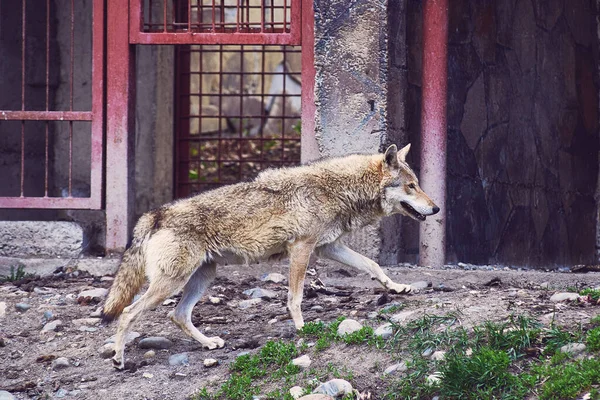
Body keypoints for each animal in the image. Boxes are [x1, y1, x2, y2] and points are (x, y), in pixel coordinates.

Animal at [102, 144, 440, 368]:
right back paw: (118, 358)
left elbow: (373, 265)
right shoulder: (301, 248)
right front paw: (303, 328)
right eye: (411, 186)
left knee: (178, 315)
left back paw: (209, 343)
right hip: (172, 283)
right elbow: (296, 297)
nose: (436, 208)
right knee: (128, 312)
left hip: (201, 278)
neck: (336, 189)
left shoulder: (327, 247)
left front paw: (397, 287)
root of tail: (155, 214)